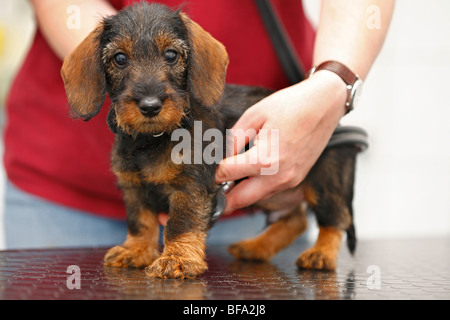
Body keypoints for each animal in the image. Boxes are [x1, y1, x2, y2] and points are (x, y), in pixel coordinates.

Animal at [61, 2, 360, 278]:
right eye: (120, 58)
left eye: (171, 55)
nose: (150, 105)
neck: (154, 139)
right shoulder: (133, 188)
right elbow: (140, 222)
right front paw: (136, 250)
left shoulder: (190, 186)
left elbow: (180, 224)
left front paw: (177, 259)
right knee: (295, 219)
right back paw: (256, 247)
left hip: (323, 182)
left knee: (334, 220)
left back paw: (320, 253)